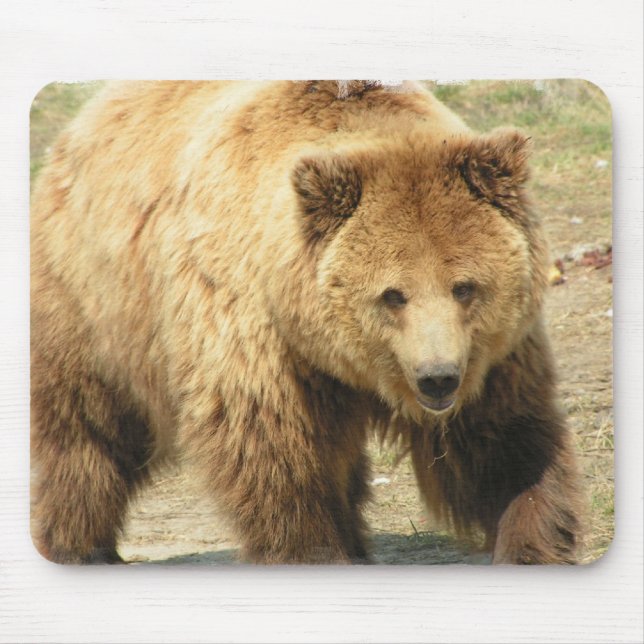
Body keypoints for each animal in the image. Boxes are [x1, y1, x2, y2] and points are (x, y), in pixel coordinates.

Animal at [30, 80, 582, 565]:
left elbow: (503, 440)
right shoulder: (256, 331)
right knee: (85, 426)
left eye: (464, 286)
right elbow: (276, 453)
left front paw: (529, 541)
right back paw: (78, 544)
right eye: (393, 295)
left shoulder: (492, 355)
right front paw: (310, 549)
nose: (437, 377)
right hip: (93, 300)